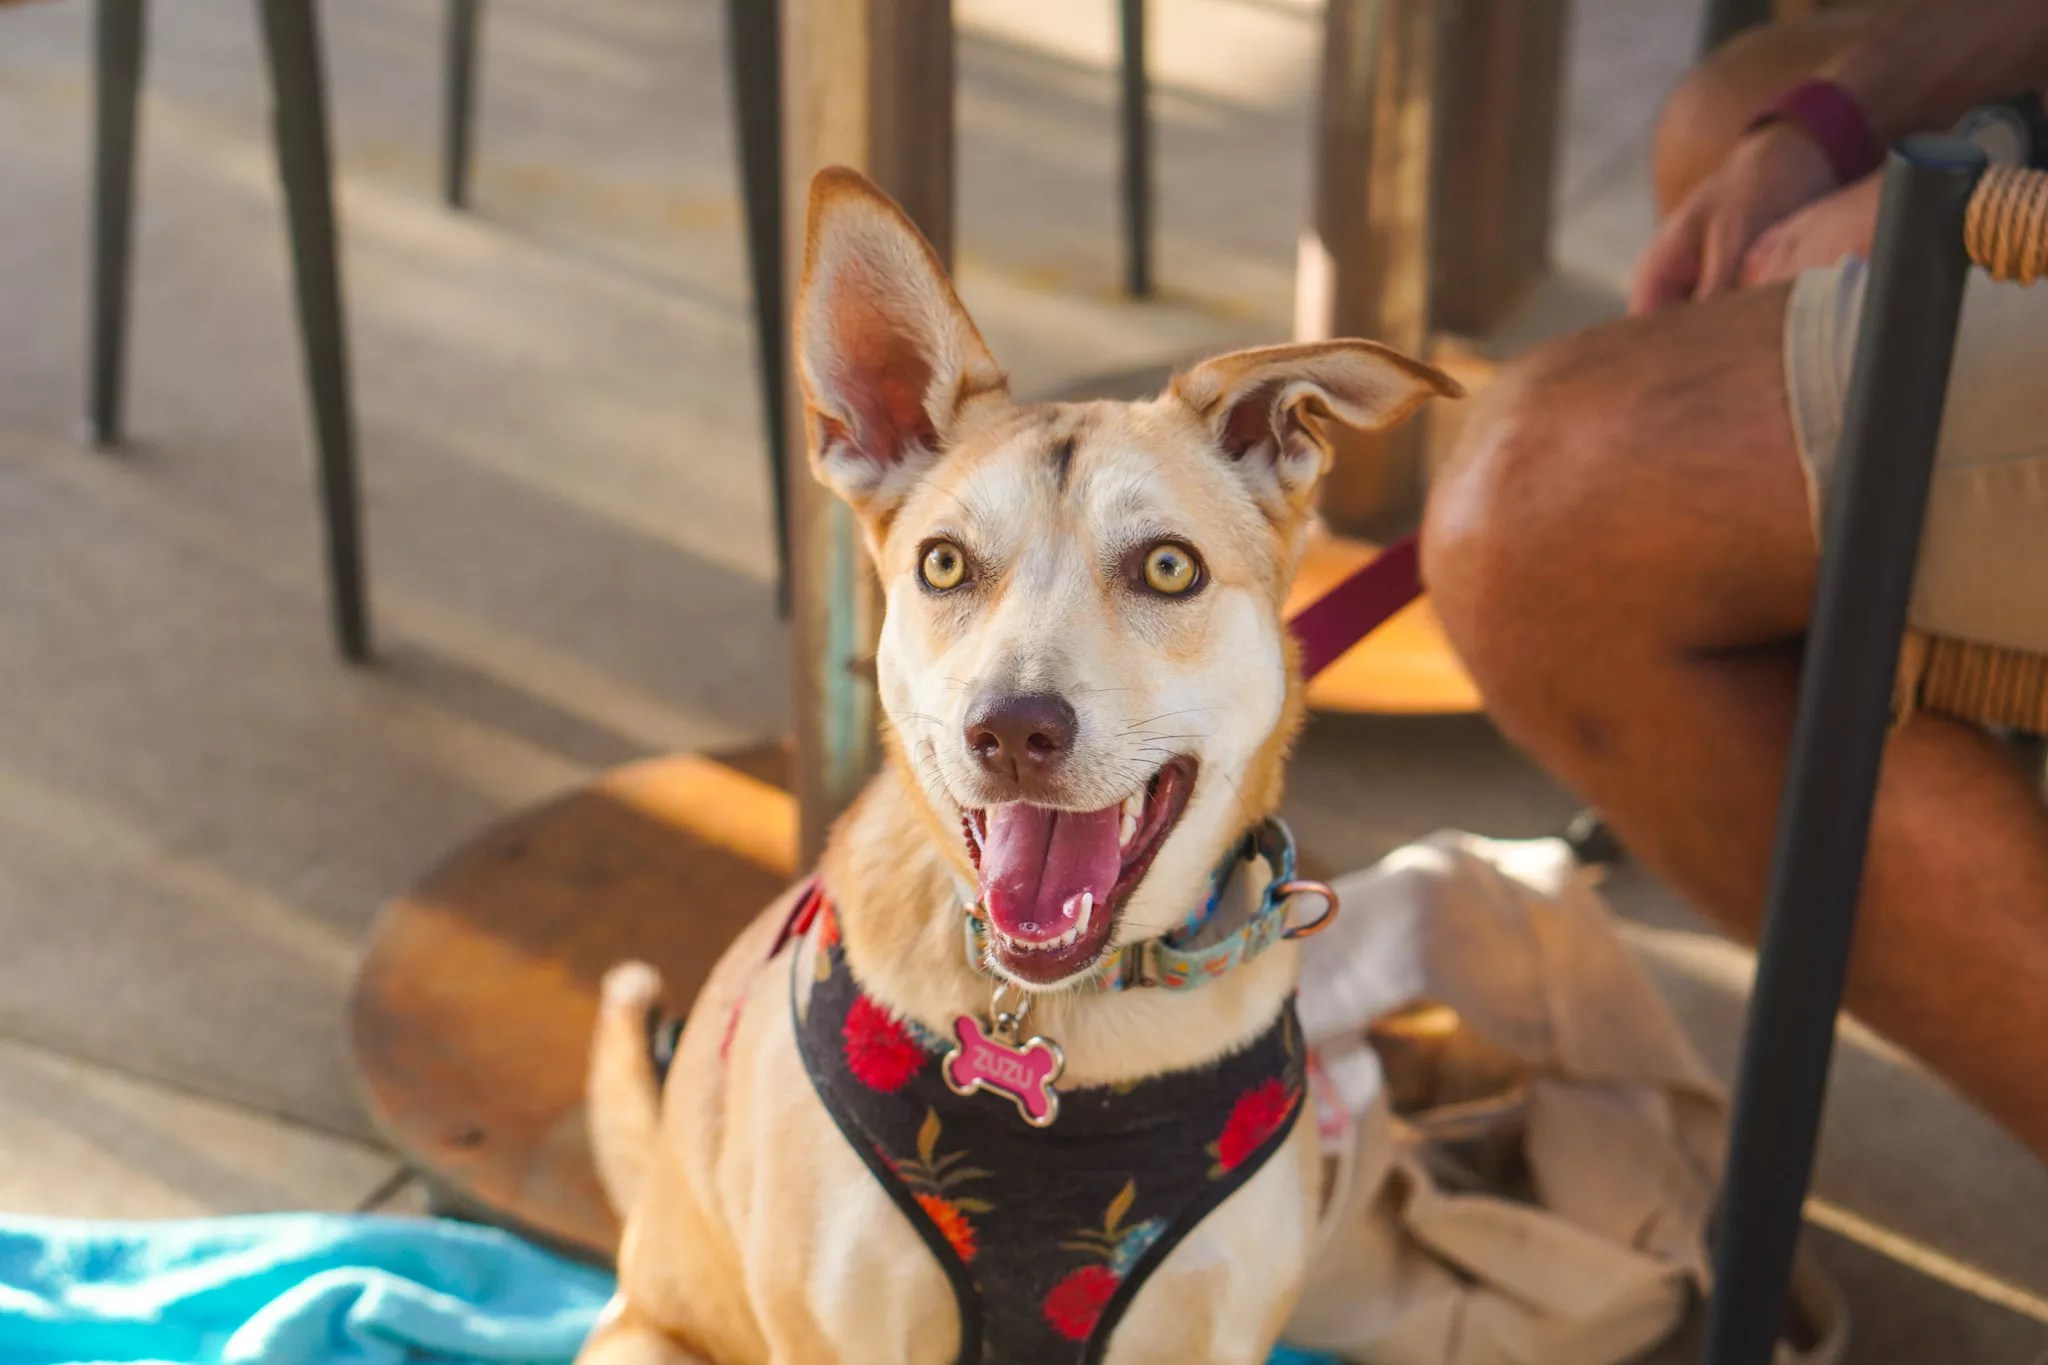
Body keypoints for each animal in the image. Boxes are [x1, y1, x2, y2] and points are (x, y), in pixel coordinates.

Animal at [575, 166, 1455, 1365]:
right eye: (944, 563)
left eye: (1167, 567)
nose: (1012, 731)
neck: (1065, 1023)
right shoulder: (841, 1332)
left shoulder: (1220, 1329)